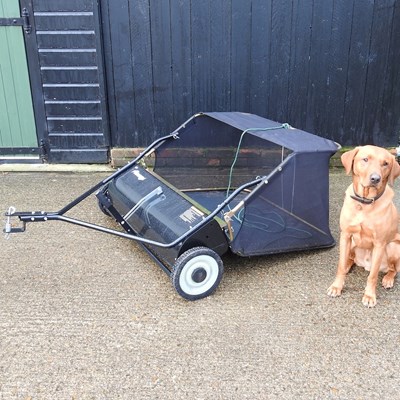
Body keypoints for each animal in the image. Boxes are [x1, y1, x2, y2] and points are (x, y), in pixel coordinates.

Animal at [326, 145, 400, 308]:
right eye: (365, 159)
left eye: (385, 163)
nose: (375, 179)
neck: (364, 203)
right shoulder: (346, 235)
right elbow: (340, 266)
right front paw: (336, 286)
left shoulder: (379, 244)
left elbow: (372, 276)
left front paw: (370, 296)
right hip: (353, 243)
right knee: (349, 259)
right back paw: (348, 265)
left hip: (393, 246)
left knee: (394, 269)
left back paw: (388, 279)